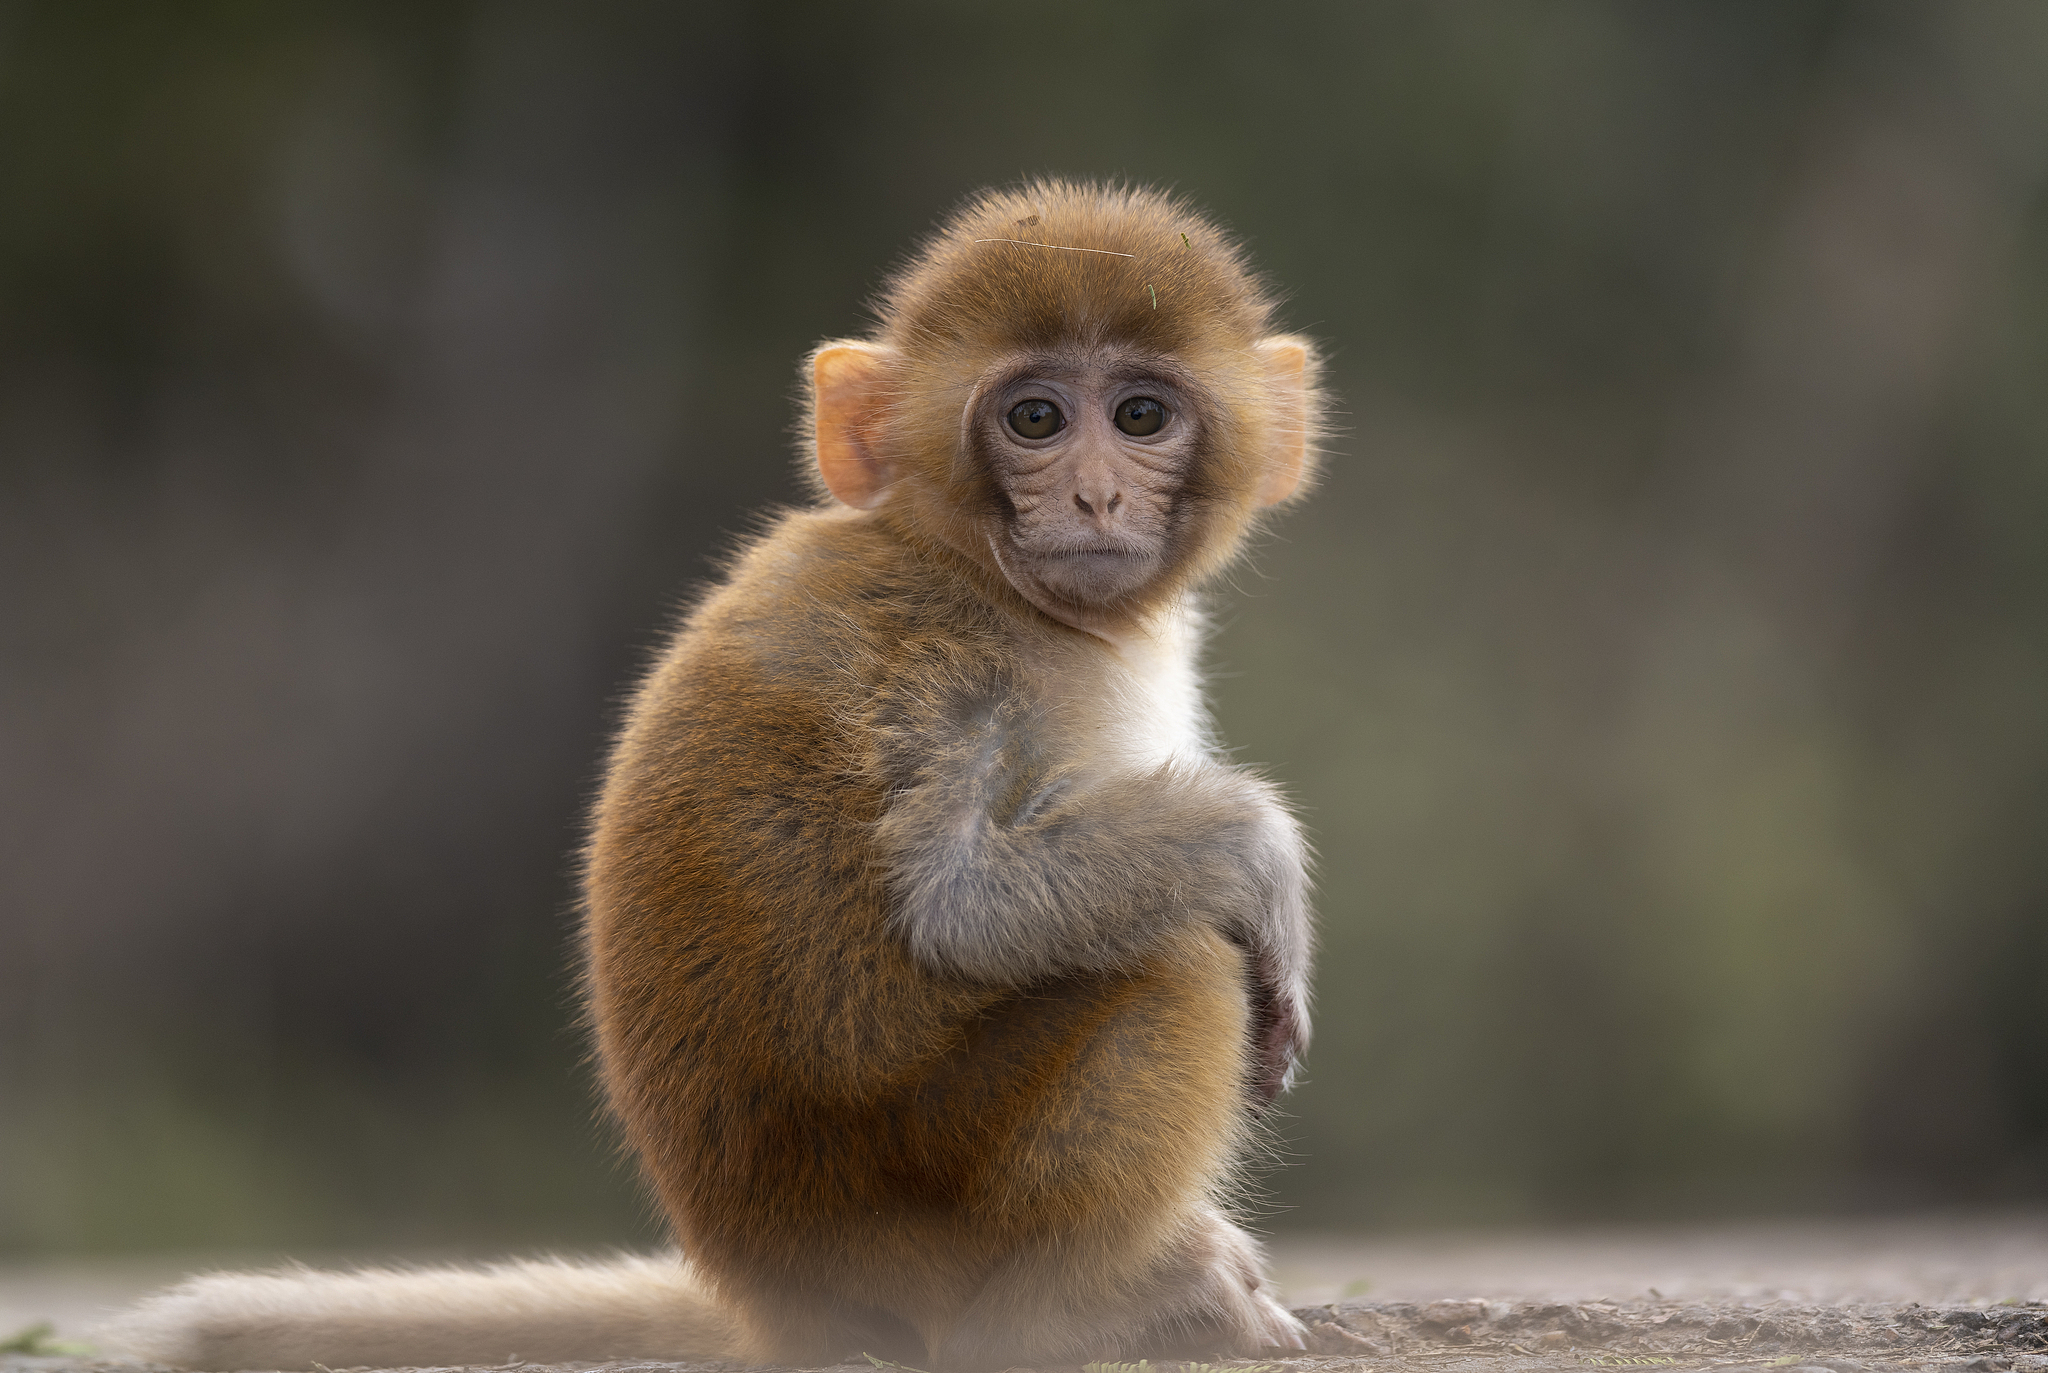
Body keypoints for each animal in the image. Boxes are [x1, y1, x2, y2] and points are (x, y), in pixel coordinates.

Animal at [105, 180, 1326, 1373]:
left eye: (1139, 416)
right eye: (1035, 419)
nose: (1094, 499)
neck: (971, 569)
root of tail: (771, 1301)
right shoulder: (944, 669)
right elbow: (957, 907)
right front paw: (1257, 851)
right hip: (925, 1221)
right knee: (1178, 961)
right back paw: (1068, 1314)